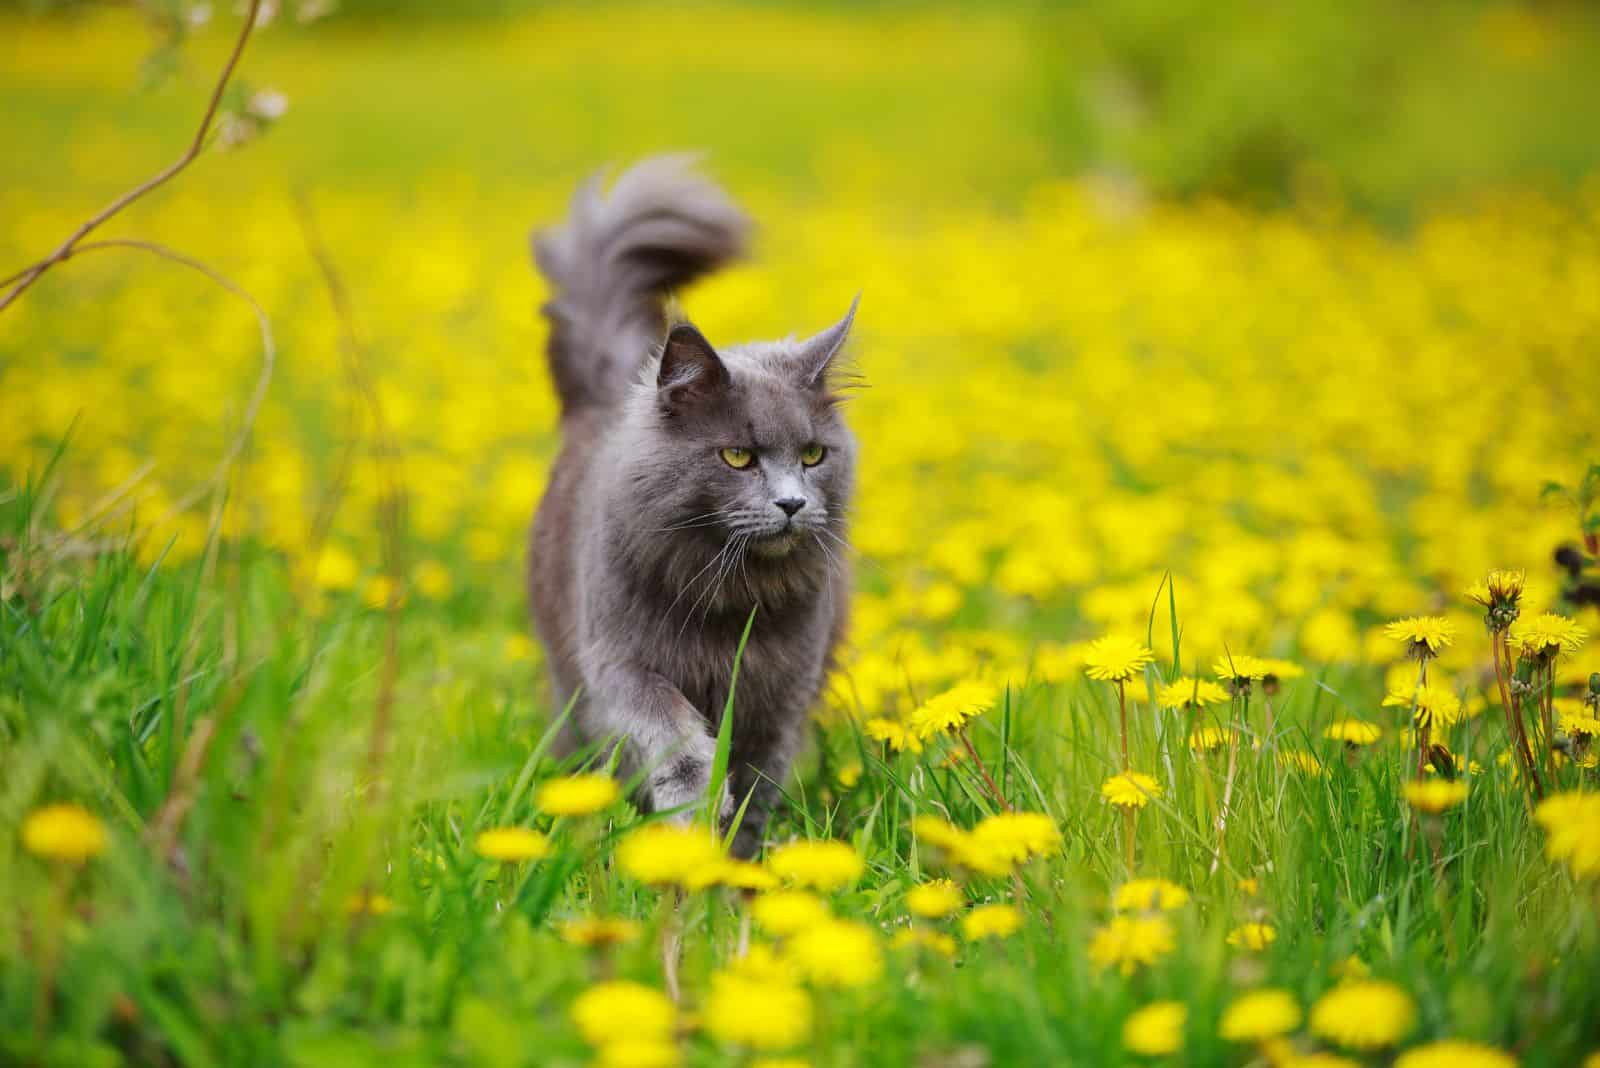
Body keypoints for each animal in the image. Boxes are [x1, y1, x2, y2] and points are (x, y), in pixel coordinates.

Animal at [524, 154, 857, 856]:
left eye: (813, 455)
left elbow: (758, 780)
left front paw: (734, 859)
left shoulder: (781, 694)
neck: (728, 603)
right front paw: (691, 806)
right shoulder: (620, 662)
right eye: (737, 457)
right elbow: (671, 731)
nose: (792, 503)